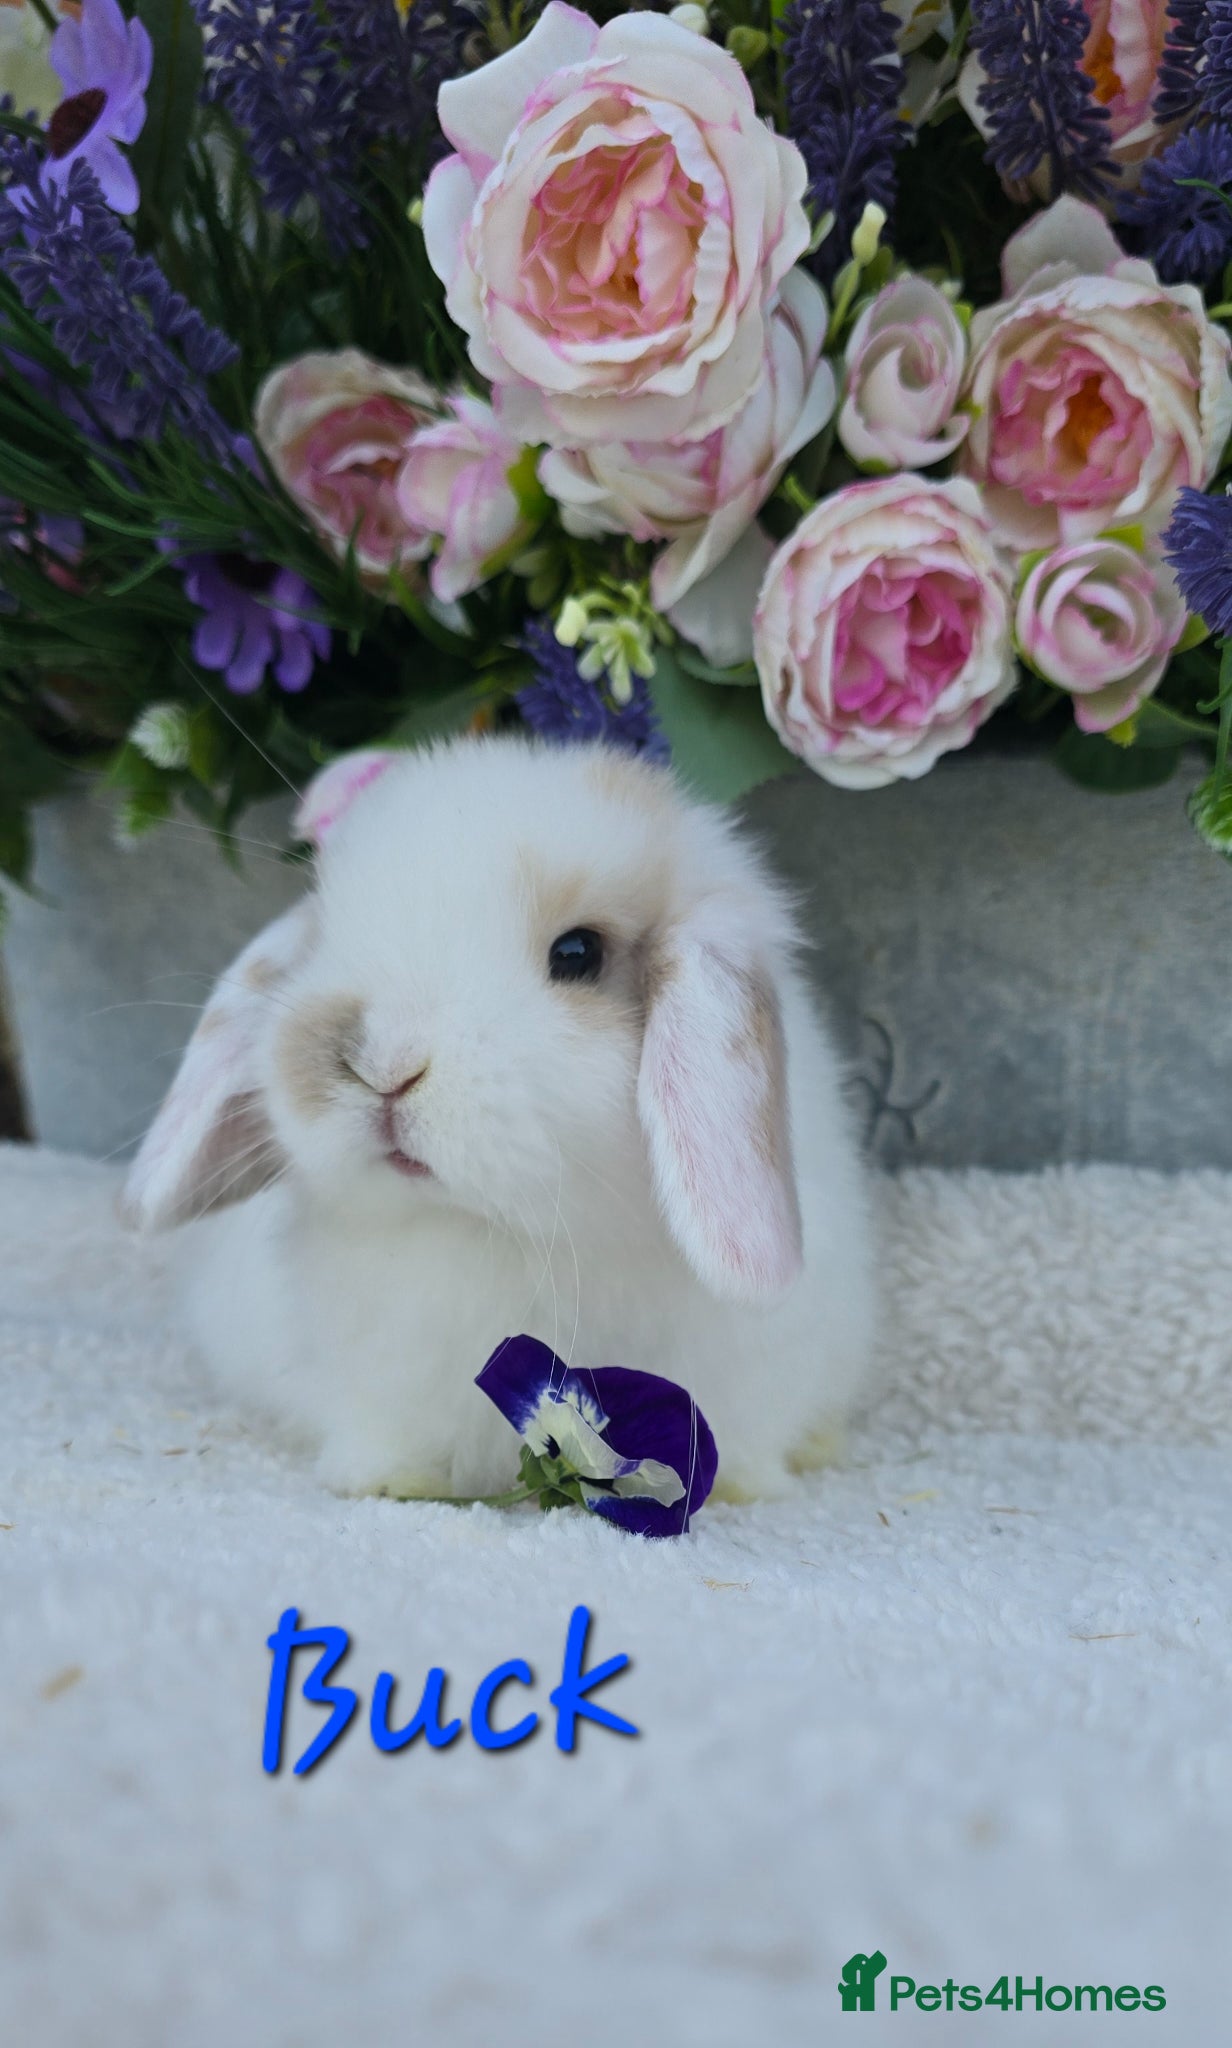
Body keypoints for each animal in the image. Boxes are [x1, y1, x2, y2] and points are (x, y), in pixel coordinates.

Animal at [123, 734, 876, 1505]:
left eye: (578, 953)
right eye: (326, 935)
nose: (381, 1063)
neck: (499, 1231)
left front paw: (736, 1490)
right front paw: (388, 1481)